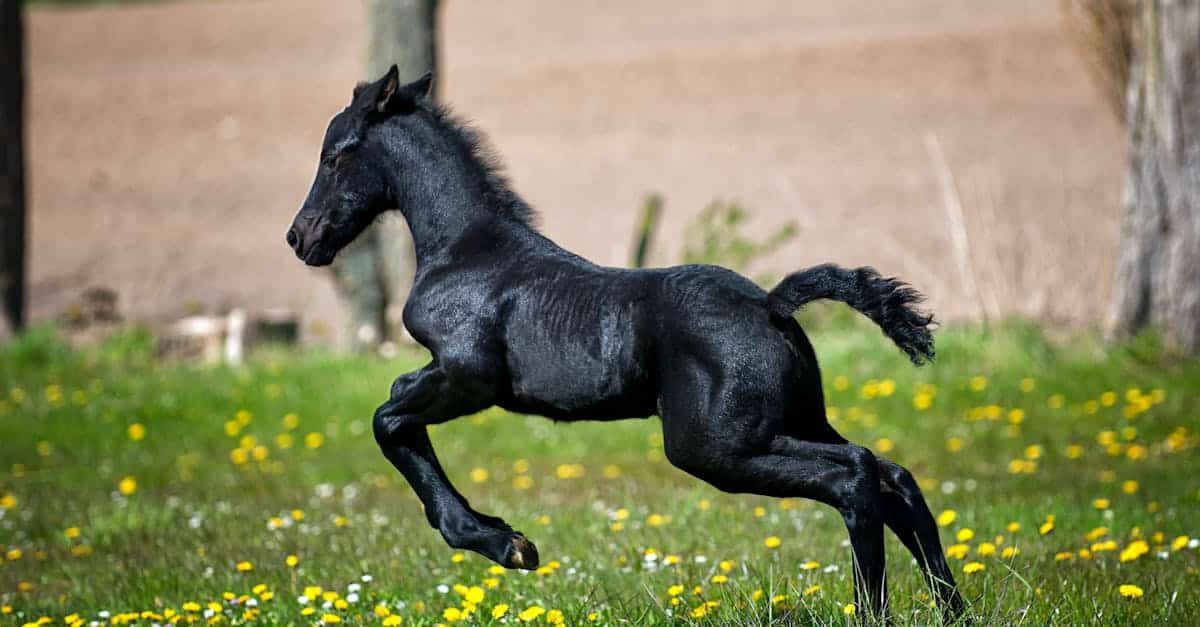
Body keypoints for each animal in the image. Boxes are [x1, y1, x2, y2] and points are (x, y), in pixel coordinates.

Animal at [285, 66, 960, 614]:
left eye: (334, 155)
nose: (300, 237)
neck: (467, 250)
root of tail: (771, 304)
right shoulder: (443, 376)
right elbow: (396, 410)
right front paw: (503, 535)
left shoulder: (467, 378)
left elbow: (387, 420)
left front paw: (506, 543)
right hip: (792, 421)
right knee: (893, 475)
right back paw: (951, 608)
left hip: (716, 446)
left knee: (856, 475)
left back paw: (874, 610)